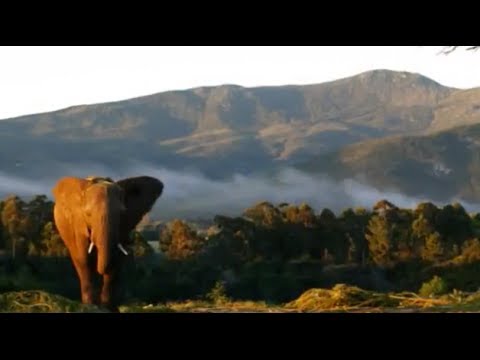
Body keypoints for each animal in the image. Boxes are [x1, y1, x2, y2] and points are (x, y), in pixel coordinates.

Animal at [51, 175, 165, 312]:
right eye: (88, 214)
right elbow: (85, 260)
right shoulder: (79, 224)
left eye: (122, 213)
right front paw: (91, 307)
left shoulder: (123, 228)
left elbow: (115, 262)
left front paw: (108, 308)